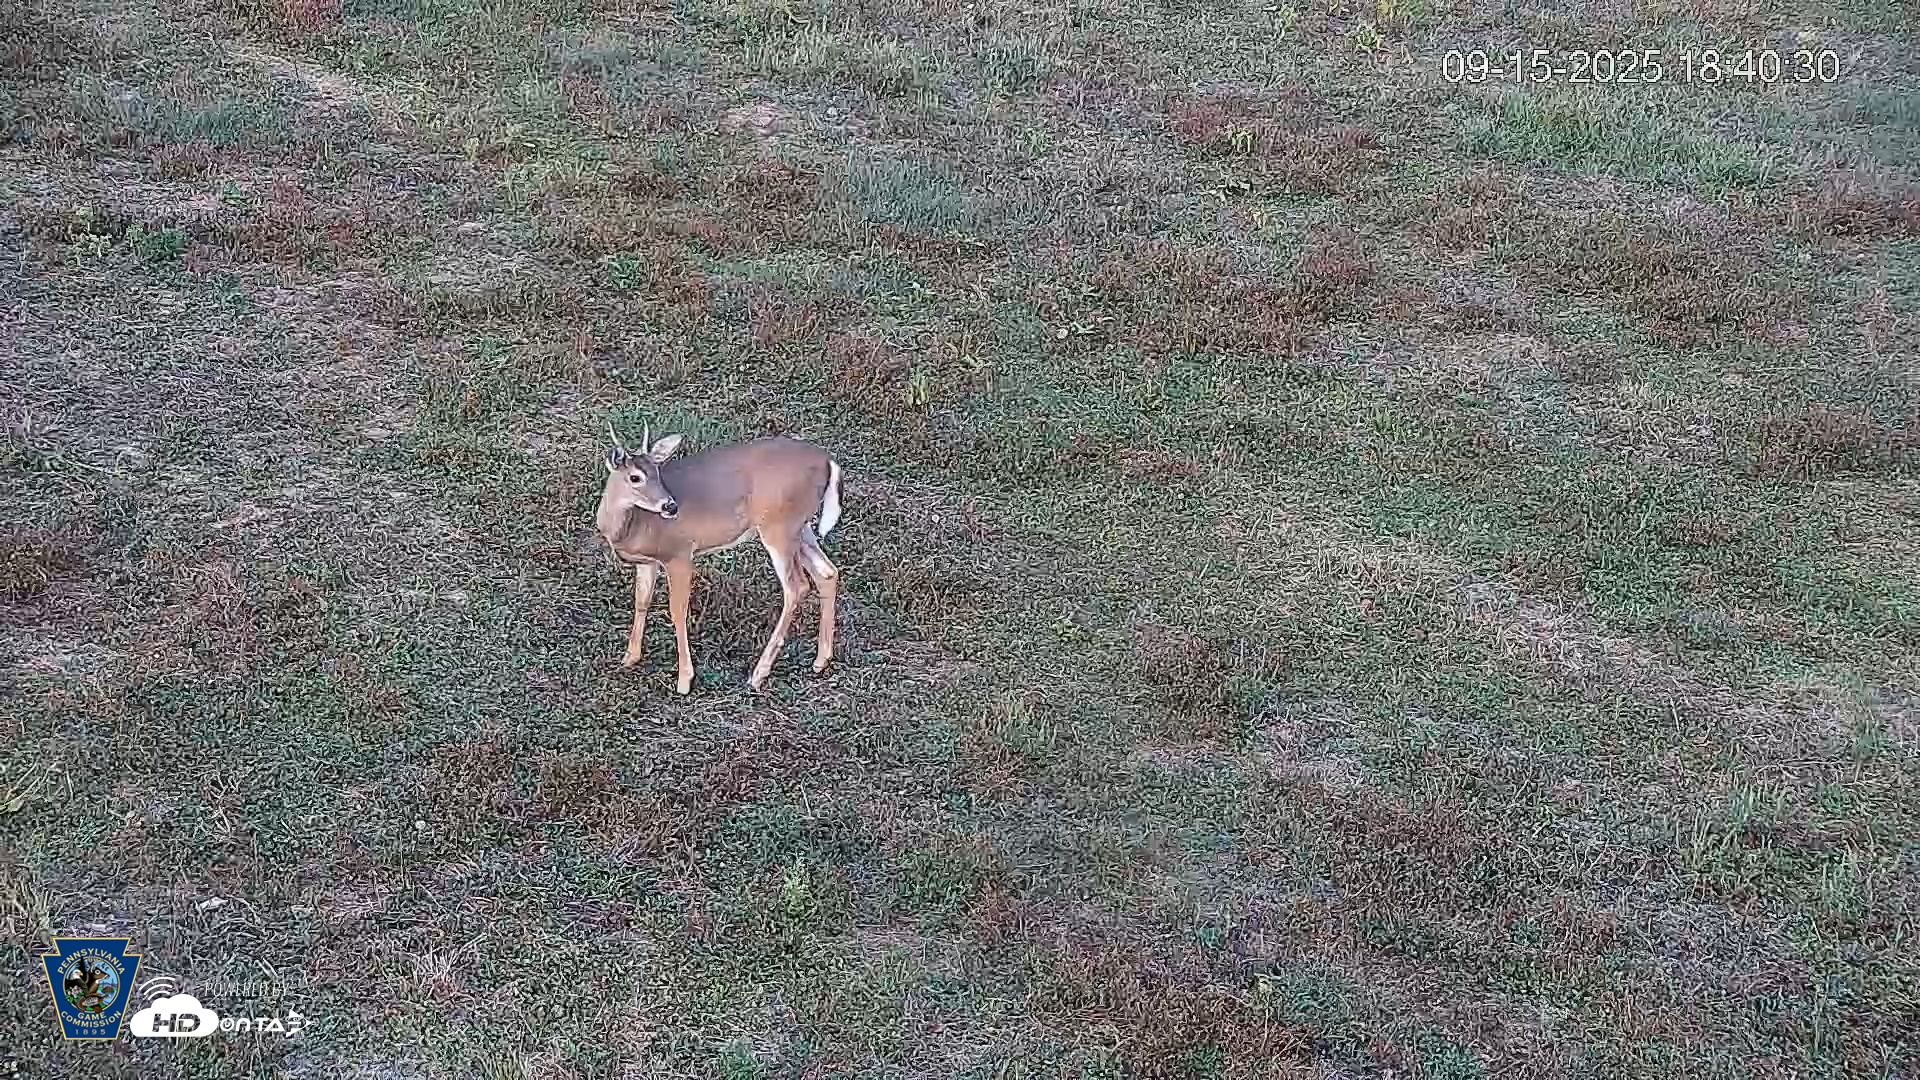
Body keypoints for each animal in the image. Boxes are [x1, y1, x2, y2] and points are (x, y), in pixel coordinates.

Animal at [595, 421, 844, 695]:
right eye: (635, 477)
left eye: (658, 472)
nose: (670, 506)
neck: (634, 526)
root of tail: (828, 461)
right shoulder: (647, 562)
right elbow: (641, 601)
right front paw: (629, 658)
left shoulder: (679, 554)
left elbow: (677, 611)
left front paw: (684, 680)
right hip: (800, 527)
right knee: (827, 572)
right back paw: (821, 661)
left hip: (779, 525)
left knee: (797, 586)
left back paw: (758, 675)